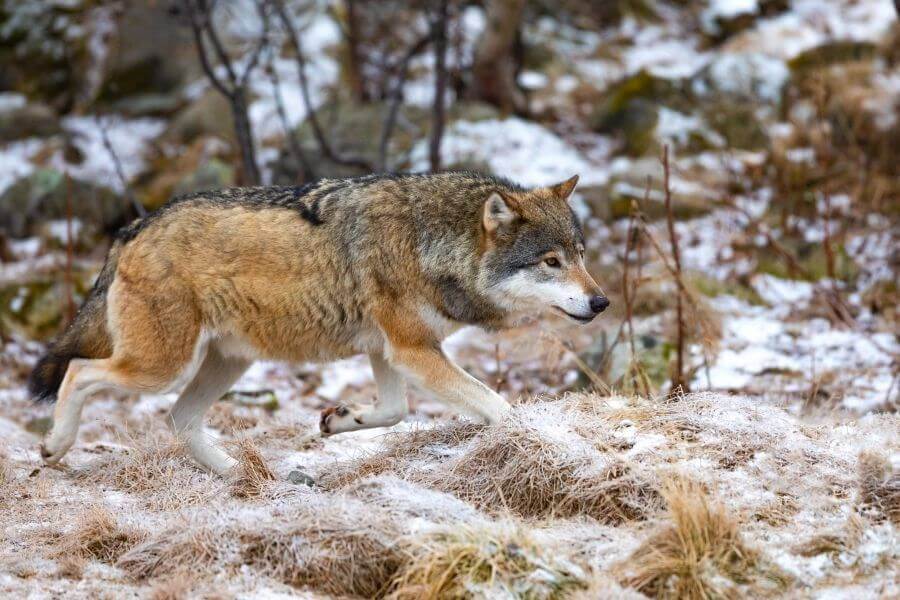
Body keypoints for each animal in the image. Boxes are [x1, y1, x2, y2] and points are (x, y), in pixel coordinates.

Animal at [28, 171, 609, 475]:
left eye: (580, 255)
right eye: (551, 262)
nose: (601, 302)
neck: (431, 243)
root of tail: (132, 227)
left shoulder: (389, 350)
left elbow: (394, 411)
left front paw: (339, 419)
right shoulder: (412, 350)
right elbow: (497, 405)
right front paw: (538, 440)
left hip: (227, 364)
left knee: (179, 419)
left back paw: (242, 476)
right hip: (162, 366)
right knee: (80, 371)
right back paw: (55, 446)